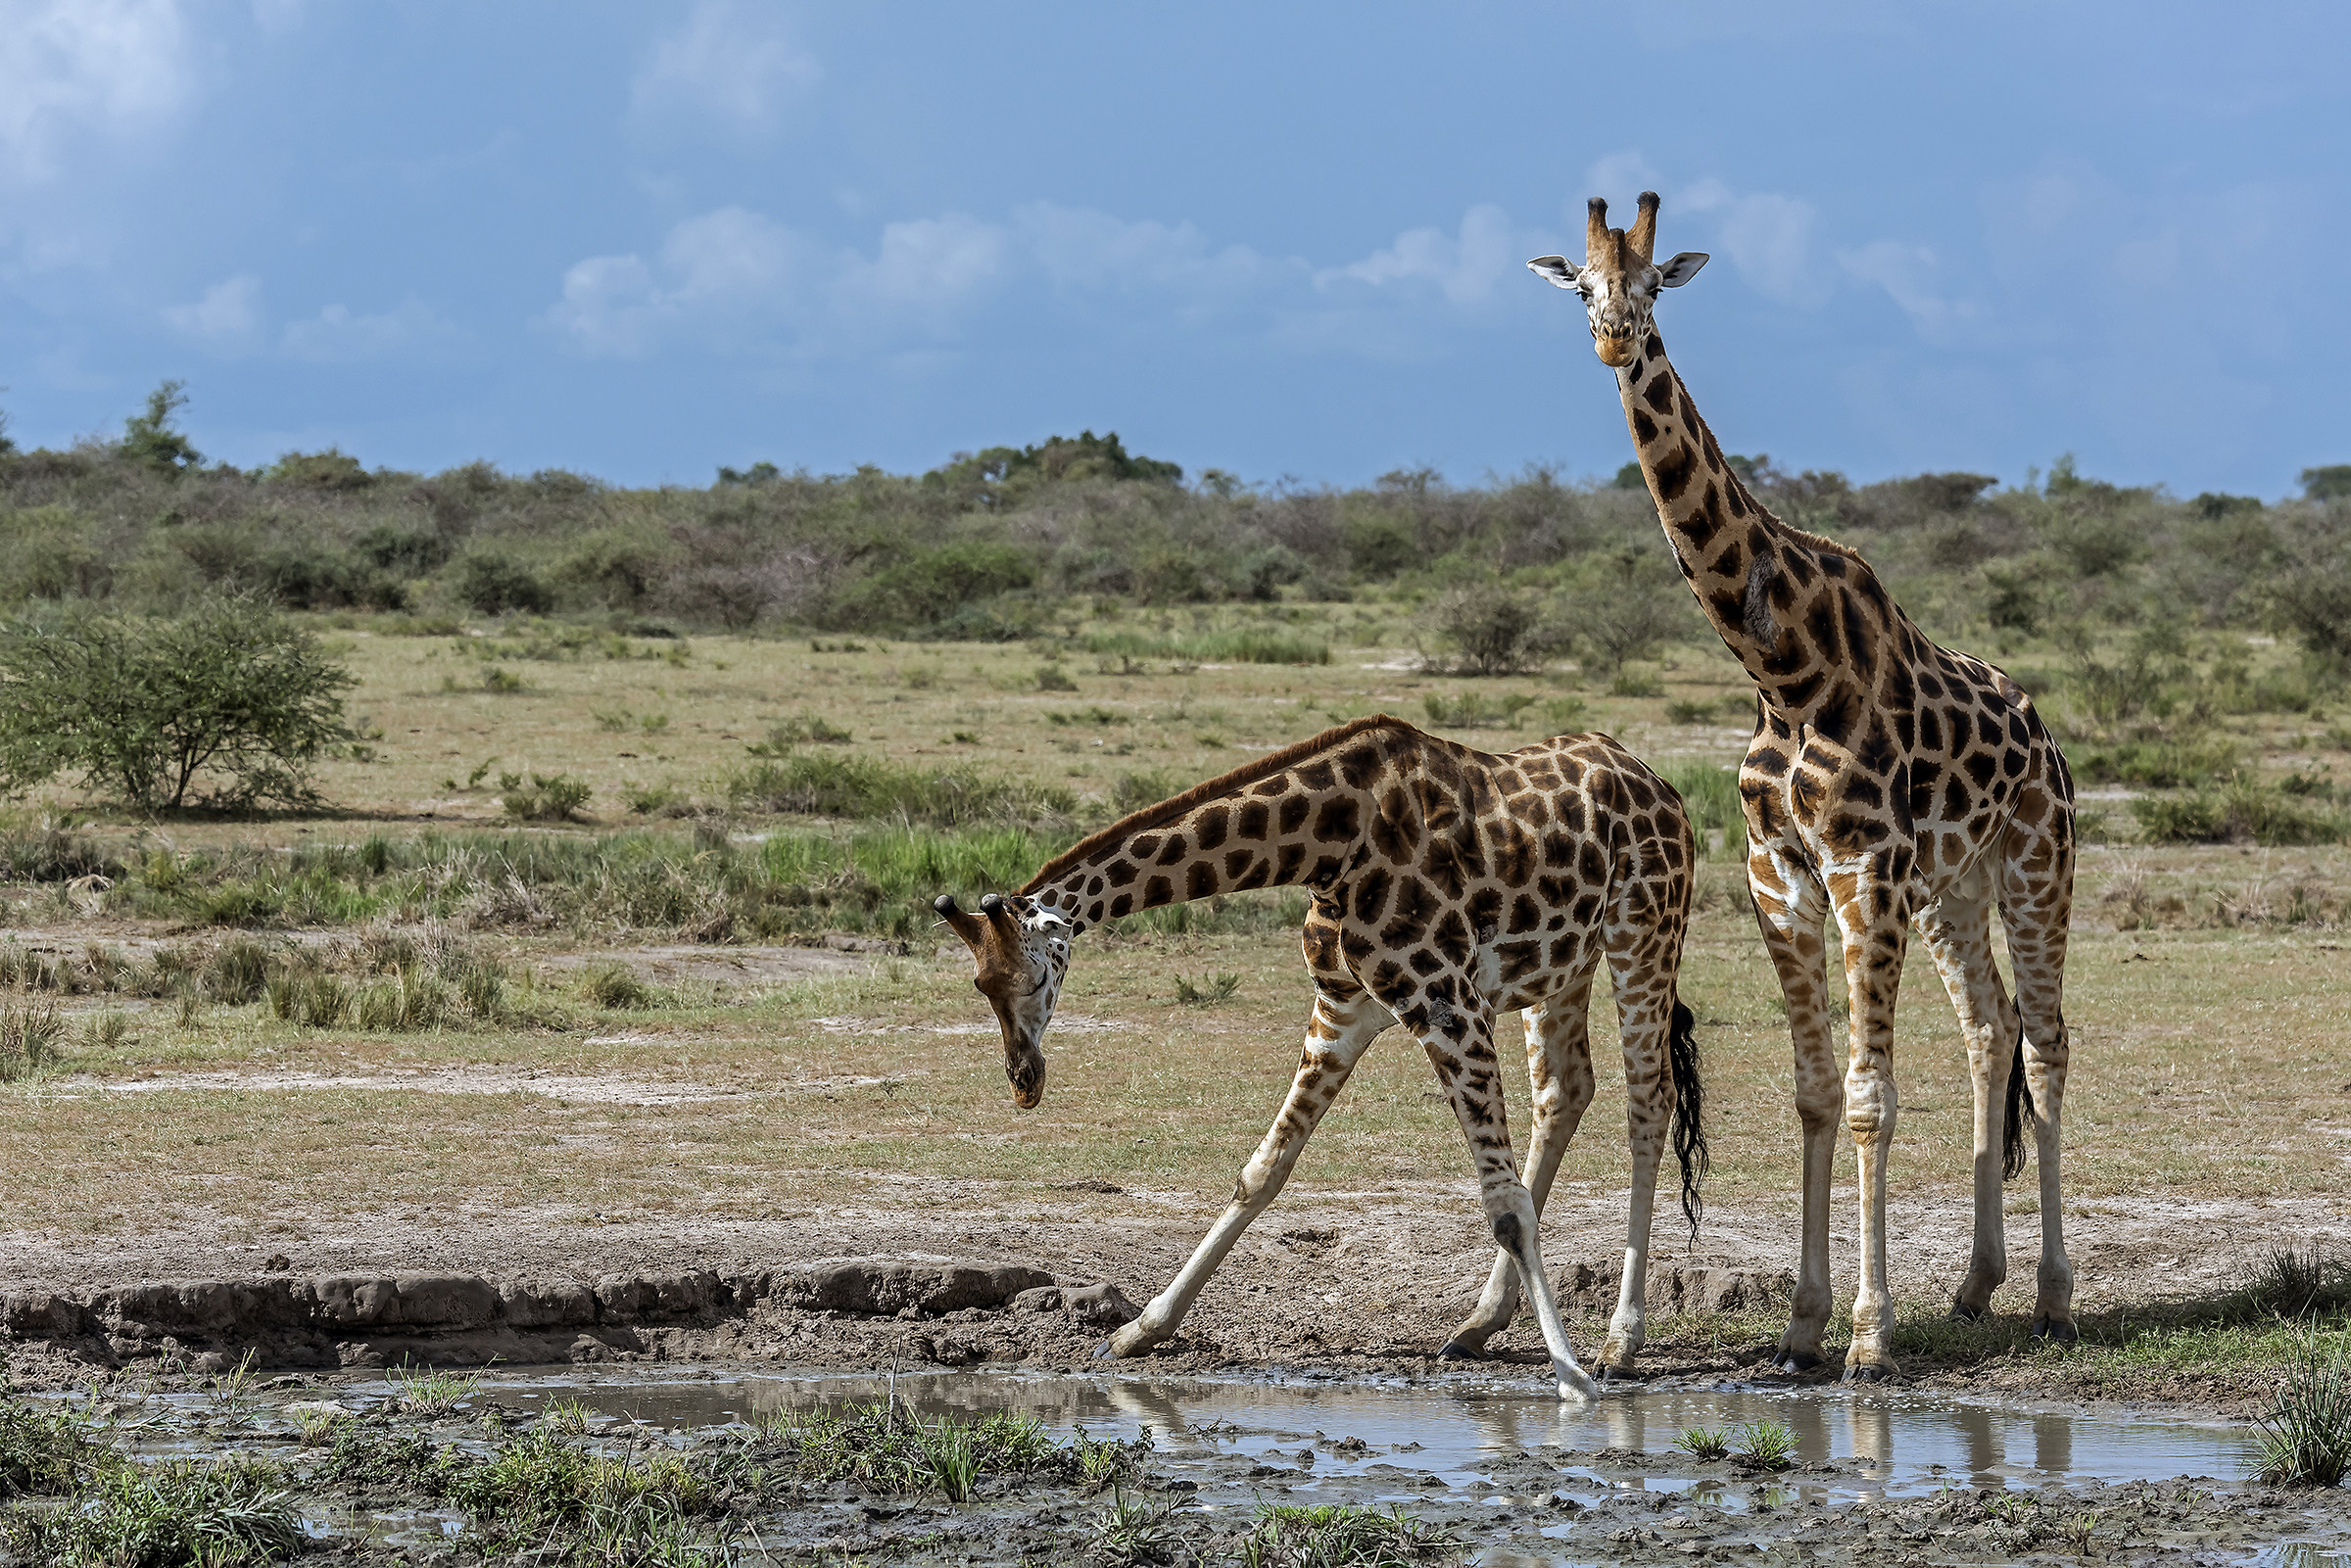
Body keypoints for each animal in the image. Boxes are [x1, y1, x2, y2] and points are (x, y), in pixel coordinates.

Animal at [934, 715, 1708, 1400]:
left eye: (1031, 977)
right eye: (980, 984)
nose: (1024, 1081)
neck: (1330, 844)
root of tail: (1661, 785)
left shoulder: (1446, 1001)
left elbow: (1507, 1204)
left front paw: (1572, 1377)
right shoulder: (1342, 1006)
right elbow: (1262, 1172)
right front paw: (1140, 1330)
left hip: (1644, 934)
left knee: (1649, 1101)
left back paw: (1618, 1343)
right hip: (1561, 967)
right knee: (1566, 1091)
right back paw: (1478, 1324)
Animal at [1526, 193, 2078, 1380]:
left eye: (1653, 286)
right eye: (1584, 286)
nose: (1615, 341)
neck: (1782, 668)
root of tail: (2046, 734)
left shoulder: (1863, 865)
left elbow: (1870, 1098)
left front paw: (1870, 1334)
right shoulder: (1779, 874)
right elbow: (1816, 1091)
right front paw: (1804, 1322)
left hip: (2035, 864)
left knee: (2050, 1039)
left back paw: (2056, 1297)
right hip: (1952, 889)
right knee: (1991, 1028)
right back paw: (1978, 1284)